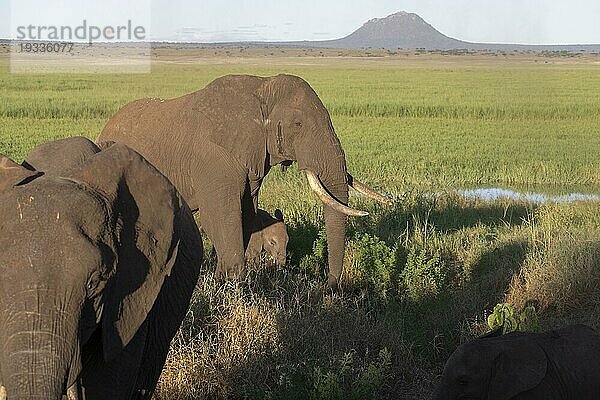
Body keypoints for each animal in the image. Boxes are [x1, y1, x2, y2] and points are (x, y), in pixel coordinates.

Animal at [99, 74, 394, 288]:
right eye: (298, 125)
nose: (331, 286)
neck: (262, 88)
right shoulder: (213, 157)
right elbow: (221, 215)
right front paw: (232, 285)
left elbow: (246, 212)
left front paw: (229, 281)